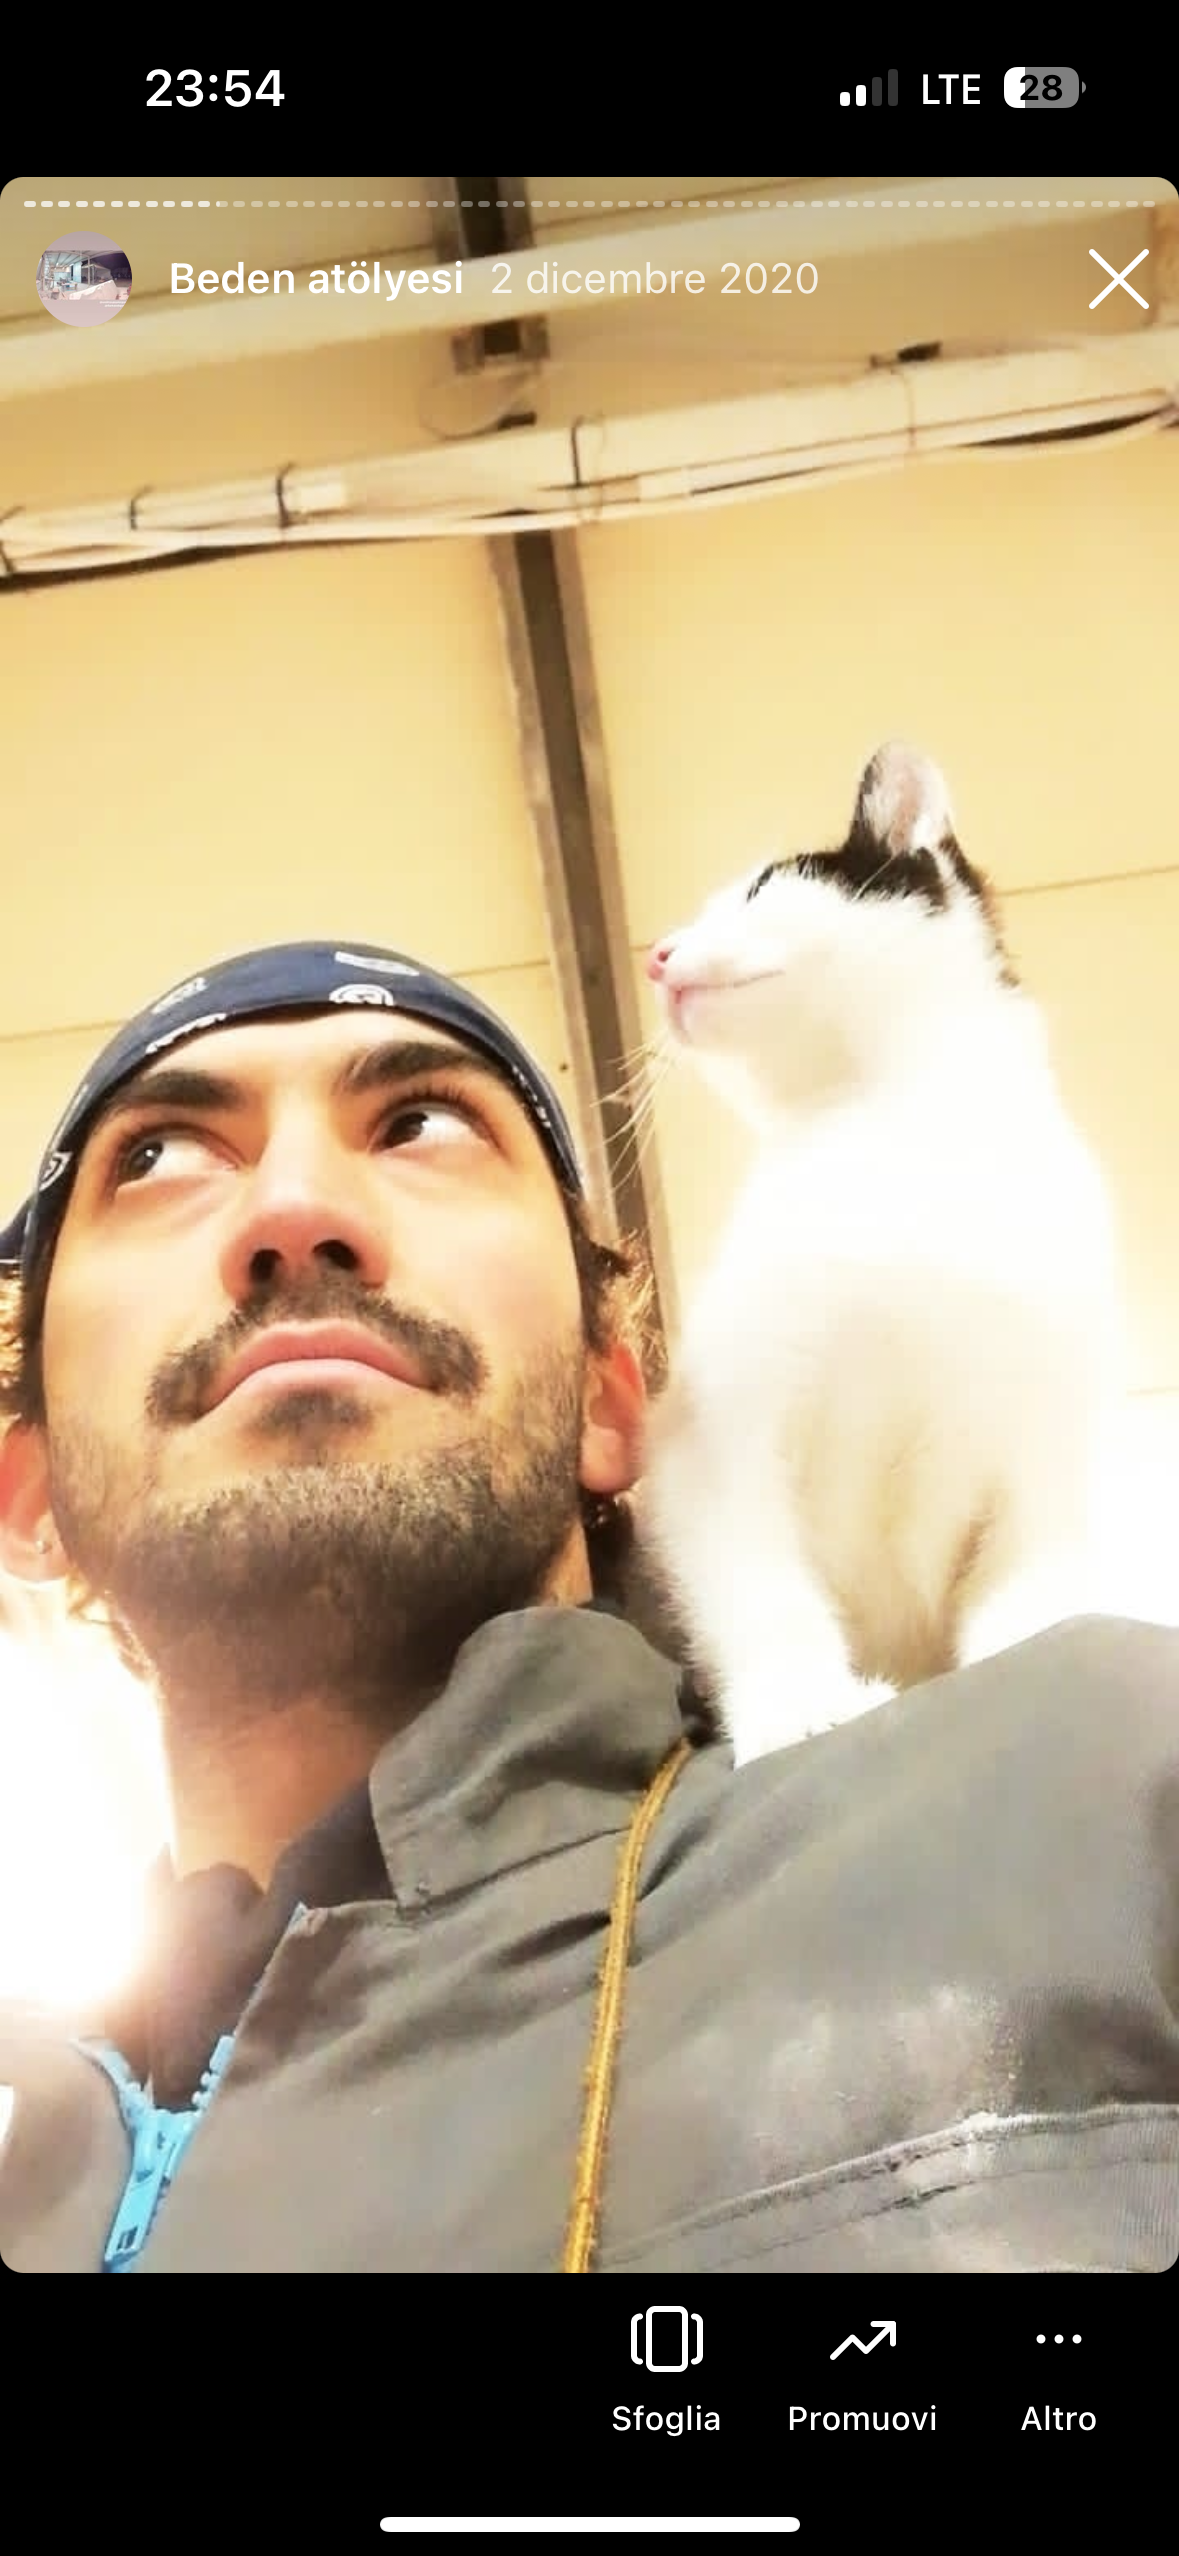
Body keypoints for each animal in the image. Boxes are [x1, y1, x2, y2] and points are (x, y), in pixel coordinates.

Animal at [638, 742, 1125, 1768]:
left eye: (761, 887)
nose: (656, 955)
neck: (893, 1146)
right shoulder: (713, 1434)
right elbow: (757, 1580)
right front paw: (798, 1704)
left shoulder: (1056, 1412)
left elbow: (1034, 1547)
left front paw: (1028, 1631)